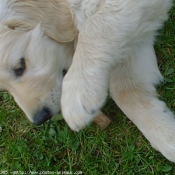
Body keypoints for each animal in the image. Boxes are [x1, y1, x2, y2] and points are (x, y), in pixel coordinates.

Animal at [0, 0, 174, 161]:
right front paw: (166, 134)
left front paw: (77, 95)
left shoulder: (122, 7)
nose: (40, 119)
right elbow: (125, 91)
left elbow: (93, 29)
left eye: (20, 67)